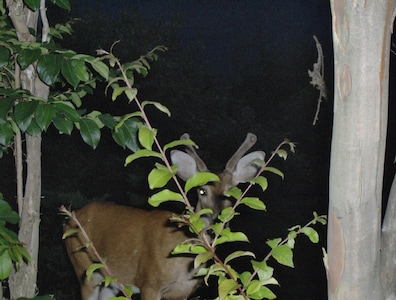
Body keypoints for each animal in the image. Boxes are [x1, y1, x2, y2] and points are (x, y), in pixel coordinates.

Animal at [63, 133, 264, 300]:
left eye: (231, 193)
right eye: (201, 191)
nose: (215, 221)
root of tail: (71, 218)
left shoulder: (183, 292)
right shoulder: (149, 282)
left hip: (109, 280)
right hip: (84, 269)